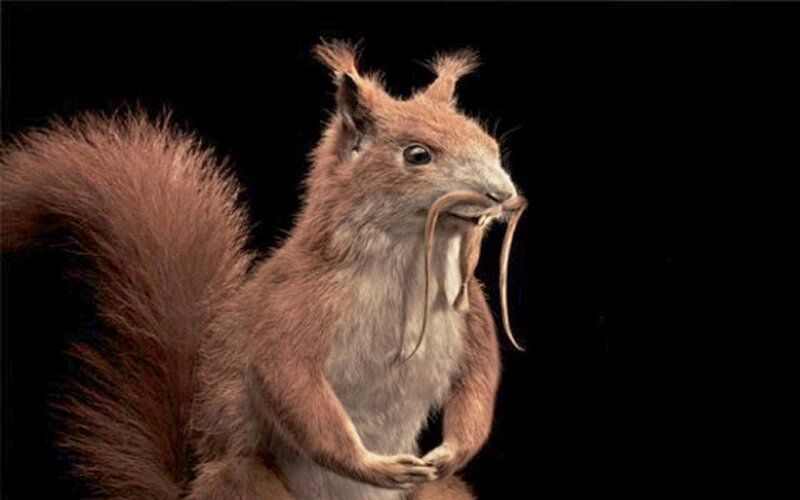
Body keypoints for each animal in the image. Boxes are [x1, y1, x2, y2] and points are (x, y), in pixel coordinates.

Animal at [1, 41, 526, 500]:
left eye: (489, 143)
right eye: (417, 154)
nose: (503, 194)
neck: (409, 258)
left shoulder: (471, 308)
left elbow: (480, 377)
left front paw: (450, 451)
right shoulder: (295, 301)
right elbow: (285, 375)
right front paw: (372, 464)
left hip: (439, 494)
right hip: (245, 482)